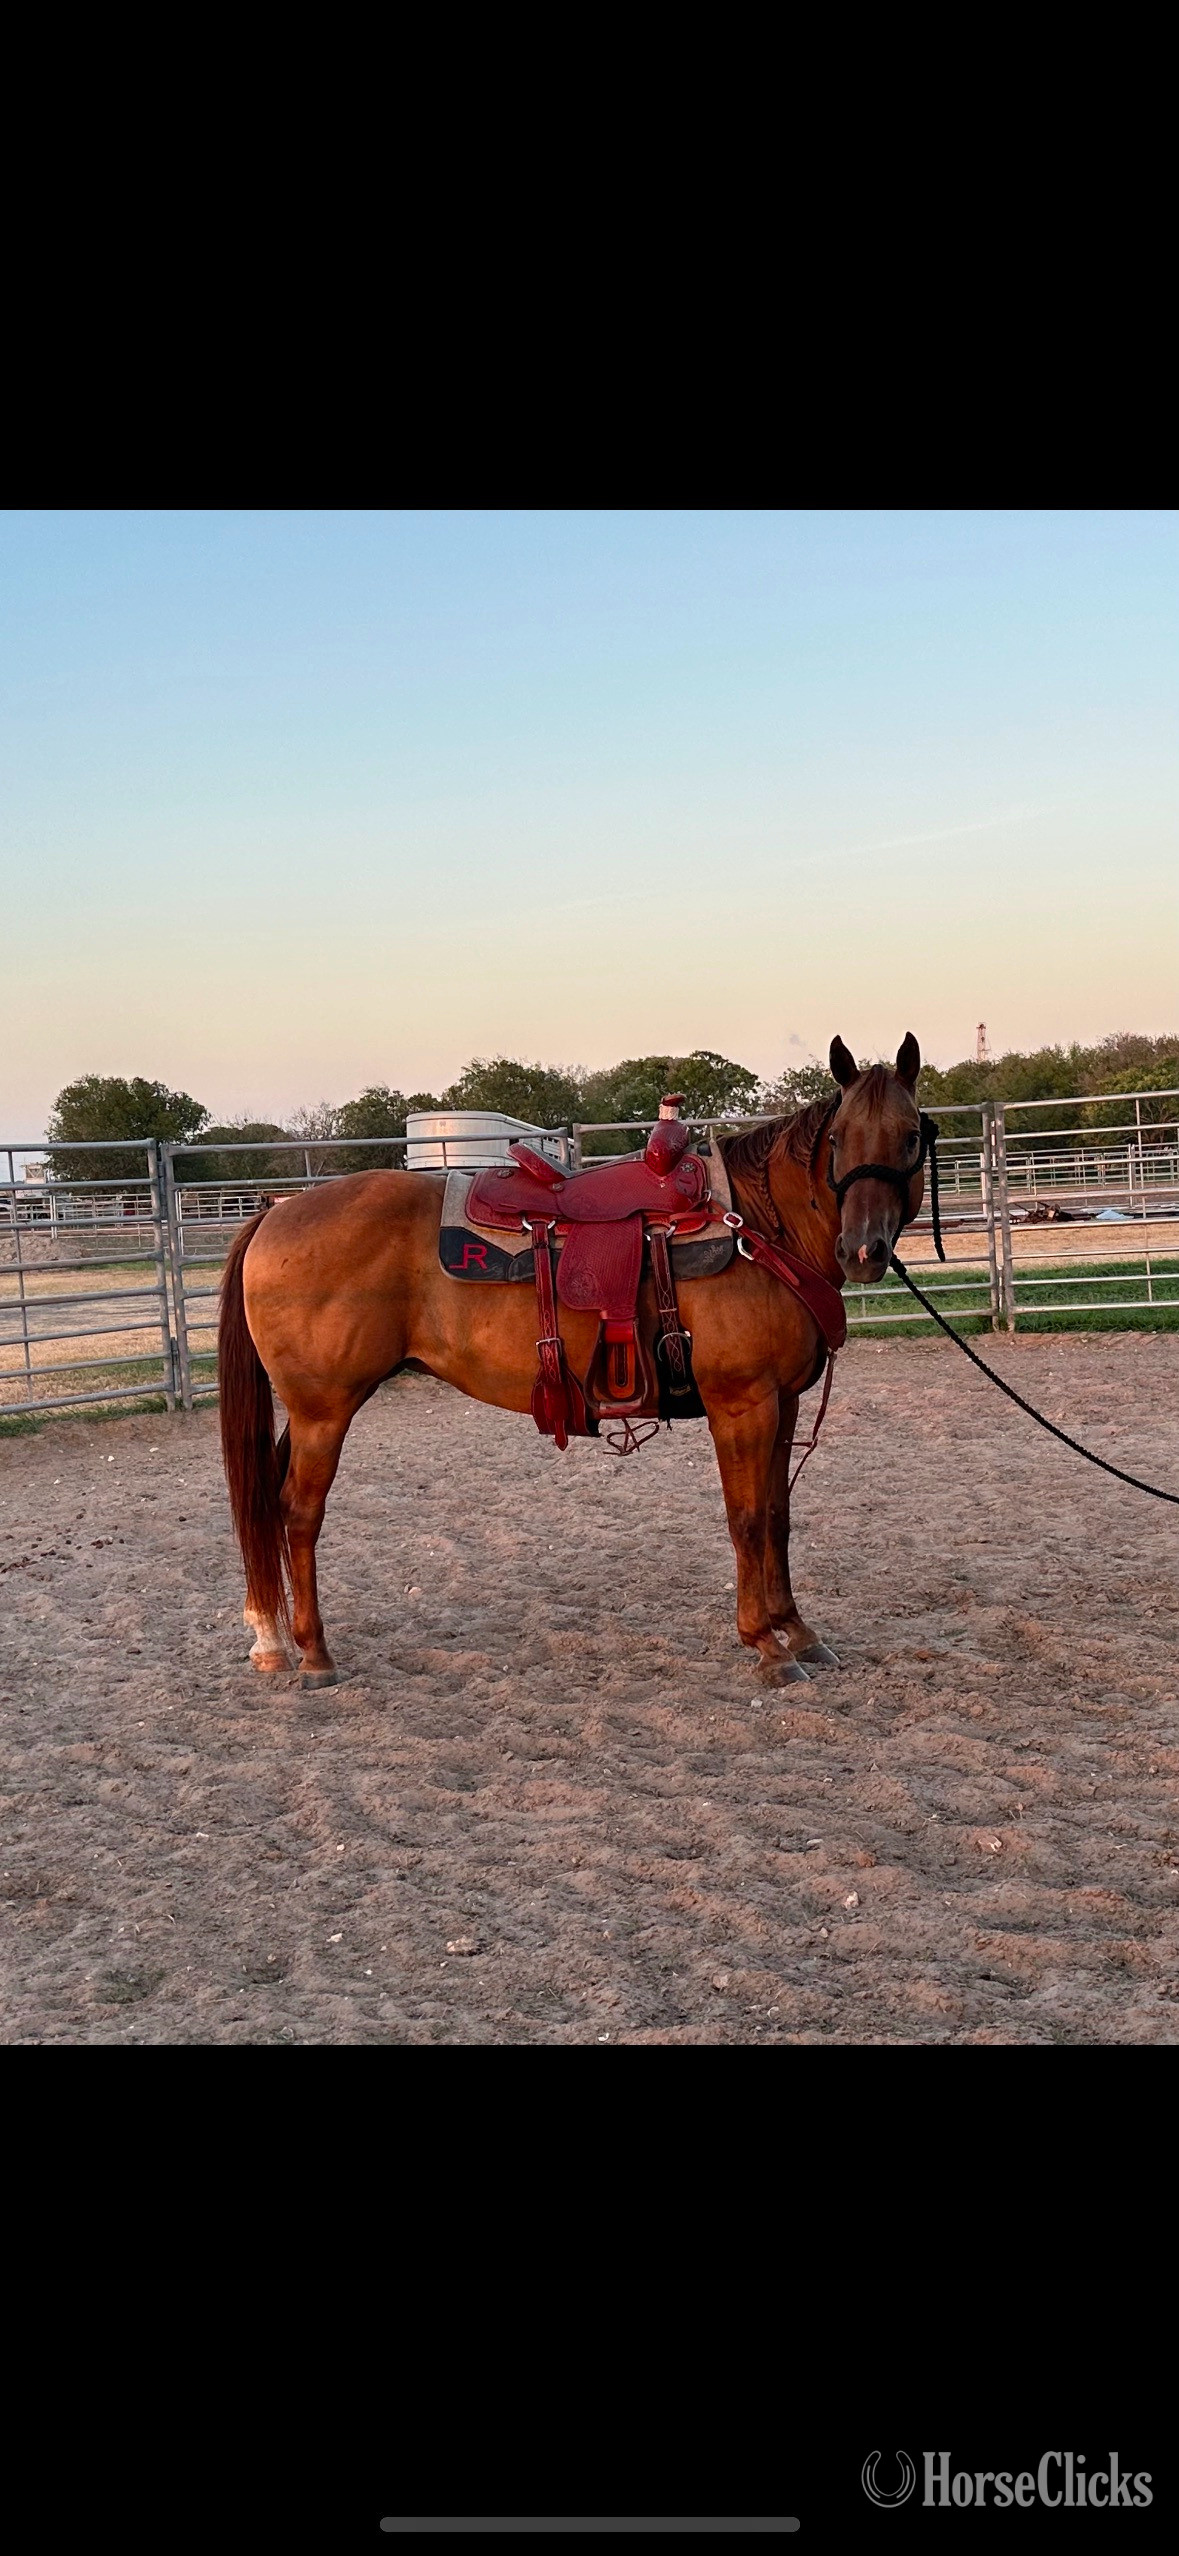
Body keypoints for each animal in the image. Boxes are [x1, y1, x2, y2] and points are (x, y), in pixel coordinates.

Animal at [217, 1034, 928, 1690]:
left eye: (912, 1136)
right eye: (838, 1138)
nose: (864, 1250)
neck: (757, 1228)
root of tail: (277, 1214)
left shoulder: (783, 1403)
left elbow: (777, 1516)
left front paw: (798, 1630)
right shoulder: (743, 1404)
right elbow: (747, 1519)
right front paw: (765, 1644)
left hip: (310, 1411)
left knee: (269, 1504)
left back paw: (271, 1639)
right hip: (324, 1410)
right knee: (298, 1512)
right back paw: (314, 1653)